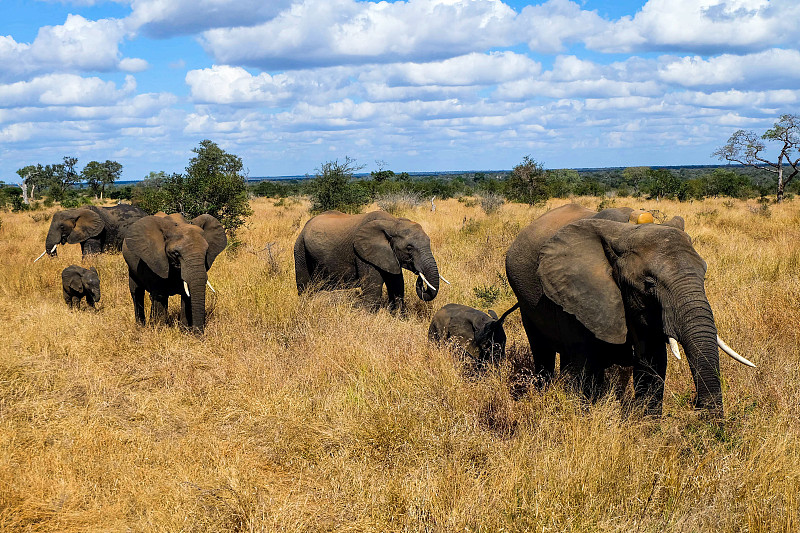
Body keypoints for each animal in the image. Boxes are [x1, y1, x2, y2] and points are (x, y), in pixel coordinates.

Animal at [296, 210, 444, 312]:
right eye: (409, 248)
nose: (420, 277)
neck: (392, 223)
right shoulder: (363, 254)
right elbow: (373, 288)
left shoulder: (388, 255)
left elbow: (397, 284)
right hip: (300, 249)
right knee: (304, 285)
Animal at [504, 204, 752, 416]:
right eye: (649, 284)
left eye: (704, 276)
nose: (697, 408)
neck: (626, 231)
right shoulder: (578, 294)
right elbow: (586, 368)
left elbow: (652, 363)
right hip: (525, 298)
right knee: (542, 350)